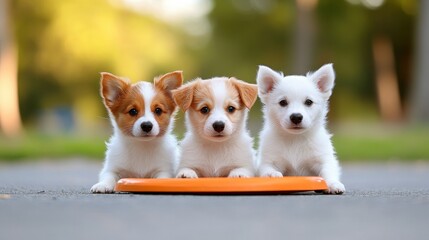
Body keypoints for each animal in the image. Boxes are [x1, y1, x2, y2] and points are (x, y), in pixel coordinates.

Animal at [258, 64, 344, 195]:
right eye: (283, 102)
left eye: (308, 102)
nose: (296, 117)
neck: (295, 139)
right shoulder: (268, 160)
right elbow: (267, 168)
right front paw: (272, 175)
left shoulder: (323, 159)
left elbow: (328, 171)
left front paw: (333, 183)